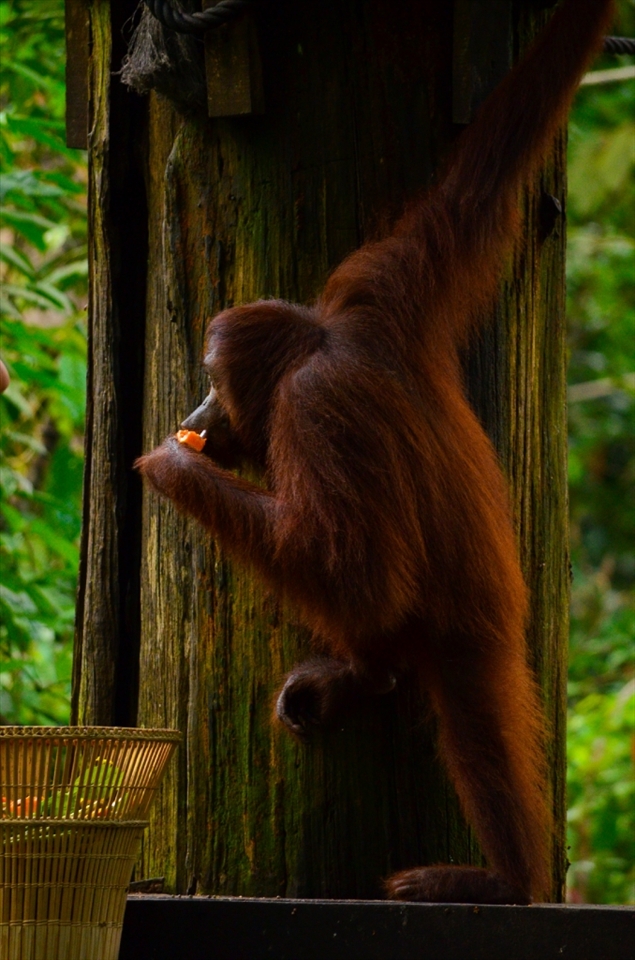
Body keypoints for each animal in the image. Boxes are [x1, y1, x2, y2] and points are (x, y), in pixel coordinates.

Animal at [137, 0, 615, 905]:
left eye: (213, 379)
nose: (197, 410)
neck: (319, 344)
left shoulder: (308, 414)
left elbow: (354, 566)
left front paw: (173, 469)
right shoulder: (380, 283)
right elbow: (480, 175)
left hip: (468, 642)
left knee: (471, 723)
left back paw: (503, 879)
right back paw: (363, 677)